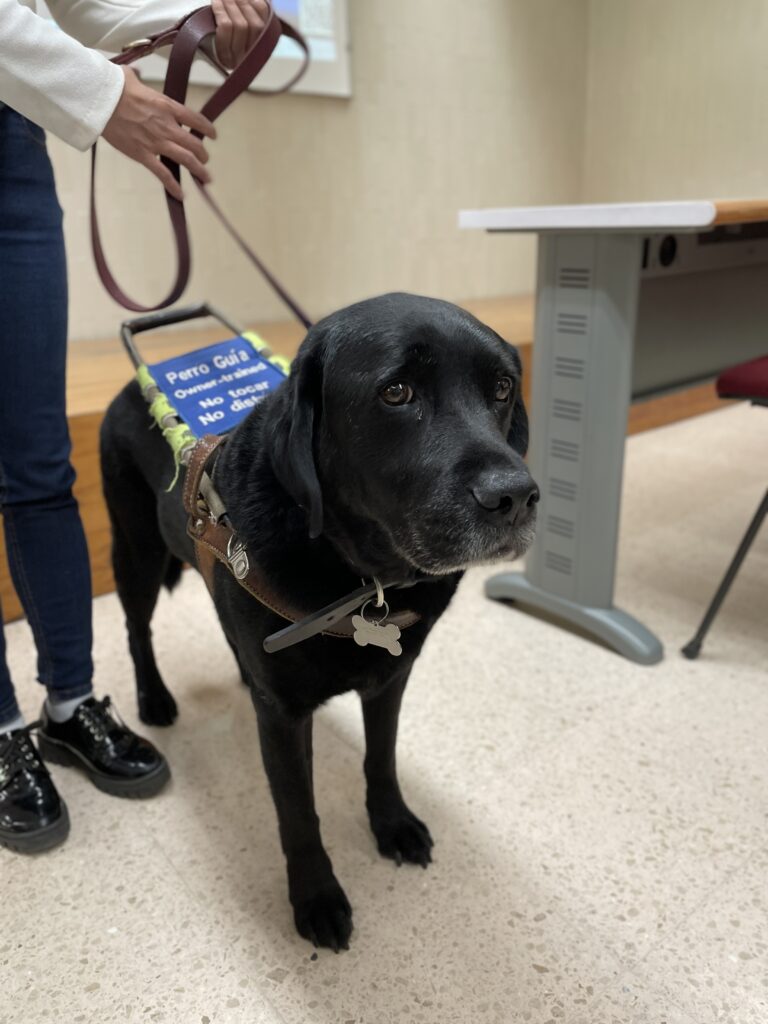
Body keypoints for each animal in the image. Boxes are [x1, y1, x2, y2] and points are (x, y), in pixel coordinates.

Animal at [99, 292, 536, 946]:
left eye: (503, 387)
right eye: (397, 391)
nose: (515, 496)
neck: (362, 578)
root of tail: (132, 385)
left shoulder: (391, 679)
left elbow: (381, 758)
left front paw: (393, 824)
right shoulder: (283, 716)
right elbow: (298, 811)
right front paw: (316, 897)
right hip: (137, 550)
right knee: (136, 629)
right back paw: (154, 698)